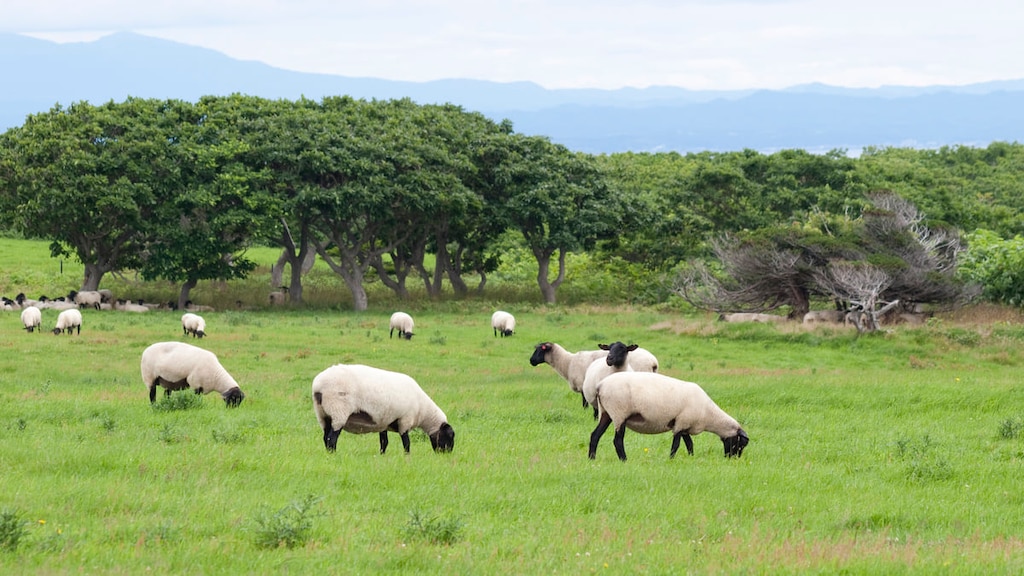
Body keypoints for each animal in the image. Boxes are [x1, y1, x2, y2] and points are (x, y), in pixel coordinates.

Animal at [309, 362, 454, 453]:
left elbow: (384, 442)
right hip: (338, 411)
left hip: (323, 415)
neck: (423, 411)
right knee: (332, 438)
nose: (447, 454)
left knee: (325, 437)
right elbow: (406, 443)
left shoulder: (384, 422)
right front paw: (407, 457)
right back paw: (334, 455)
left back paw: (328, 455)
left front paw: (382, 455)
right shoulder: (405, 420)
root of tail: (318, 387)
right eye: (450, 435)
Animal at [589, 368, 749, 459]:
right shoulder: (681, 423)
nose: (733, 459)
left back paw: (592, 458)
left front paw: (691, 458)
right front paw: (671, 459)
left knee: (595, 435)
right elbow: (676, 445)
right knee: (617, 440)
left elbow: (689, 444)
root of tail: (600, 386)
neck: (709, 415)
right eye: (740, 443)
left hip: (606, 413)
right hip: (619, 413)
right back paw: (624, 459)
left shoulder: (684, 425)